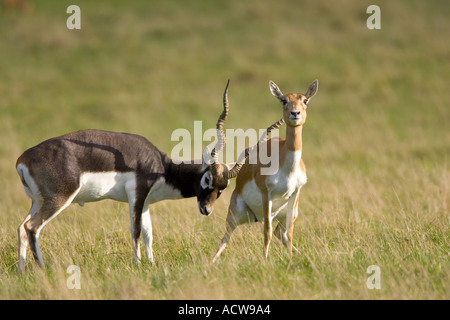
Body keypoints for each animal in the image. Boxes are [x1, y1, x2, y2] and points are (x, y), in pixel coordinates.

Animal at [15, 80, 248, 272]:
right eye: (207, 179)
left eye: (223, 188)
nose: (207, 210)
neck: (162, 167)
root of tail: (23, 159)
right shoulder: (137, 194)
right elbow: (135, 230)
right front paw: (137, 265)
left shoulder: (145, 203)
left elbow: (148, 233)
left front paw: (151, 264)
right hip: (59, 199)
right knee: (31, 227)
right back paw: (42, 268)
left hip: (38, 202)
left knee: (21, 228)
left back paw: (21, 270)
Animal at [213, 79, 318, 262]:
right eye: (283, 100)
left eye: (305, 100)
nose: (295, 113)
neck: (286, 168)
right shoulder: (266, 194)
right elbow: (266, 231)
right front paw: (264, 260)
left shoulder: (295, 193)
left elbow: (289, 232)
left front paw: (290, 259)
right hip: (237, 214)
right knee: (226, 237)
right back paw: (211, 262)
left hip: (288, 211)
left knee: (280, 232)